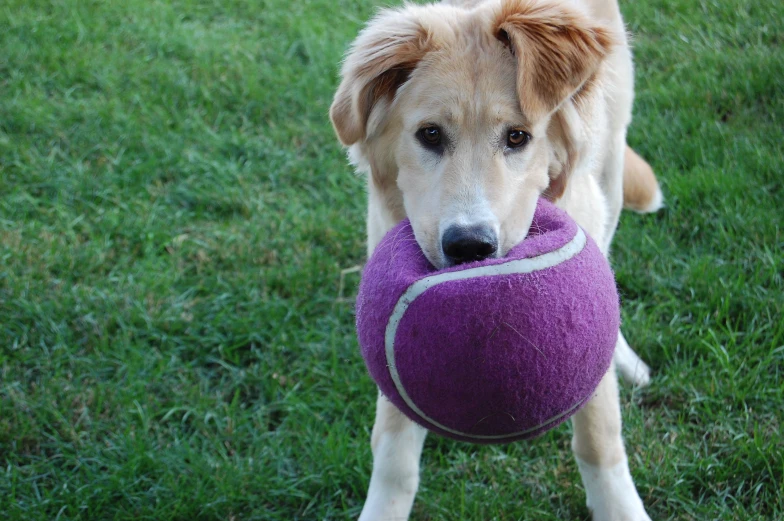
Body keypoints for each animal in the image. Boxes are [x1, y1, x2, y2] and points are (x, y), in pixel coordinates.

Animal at [328, 2, 664, 516]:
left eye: (518, 137)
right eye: (429, 135)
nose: (470, 248)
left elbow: (598, 437)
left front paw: (620, 510)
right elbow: (393, 451)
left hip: (609, 166)